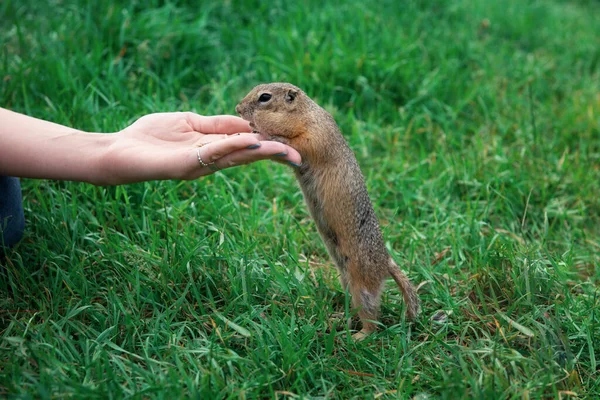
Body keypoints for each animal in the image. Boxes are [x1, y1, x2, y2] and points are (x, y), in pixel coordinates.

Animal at [237, 83, 420, 340]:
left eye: (265, 97)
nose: (238, 109)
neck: (304, 114)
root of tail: (386, 261)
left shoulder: (314, 135)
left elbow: (298, 143)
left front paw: (269, 135)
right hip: (346, 278)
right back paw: (339, 319)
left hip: (361, 282)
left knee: (372, 316)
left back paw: (359, 336)